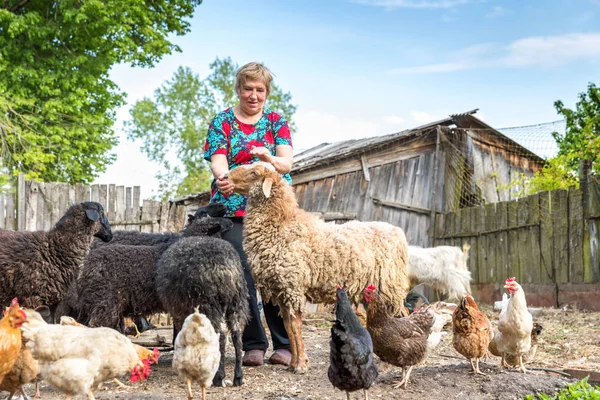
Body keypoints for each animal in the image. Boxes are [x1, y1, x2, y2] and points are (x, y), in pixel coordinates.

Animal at [156, 236, 250, 386]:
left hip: (208, 304)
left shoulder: (179, 312)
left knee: (220, 337)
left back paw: (218, 377)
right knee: (237, 336)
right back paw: (238, 377)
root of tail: (225, 269)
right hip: (237, 301)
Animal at [225, 161, 412, 374]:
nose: (225, 178)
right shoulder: (282, 290)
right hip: (374, 289)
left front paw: (301, 365)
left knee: (398, 316)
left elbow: (295, 327)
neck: (282, 225)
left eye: (254, 173)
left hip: (388, 285)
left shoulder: (293, 286)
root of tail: (398, 232)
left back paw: (389, 362)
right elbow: (288, 327)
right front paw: (293, 363)